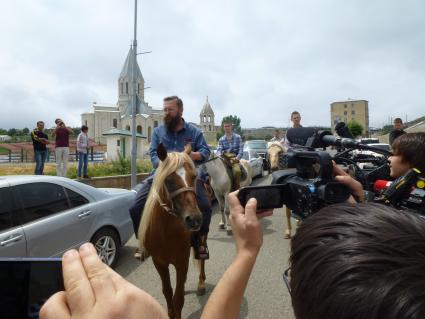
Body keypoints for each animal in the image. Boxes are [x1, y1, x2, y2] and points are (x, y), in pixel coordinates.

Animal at [137, 144, 205, 319]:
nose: (194, 219)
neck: (165, 231)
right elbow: (167, 292)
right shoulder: (159, 262)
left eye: (193, 176)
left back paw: (201, 283)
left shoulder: (181, 261)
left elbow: (178, 298)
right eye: (168, 180)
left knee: (201, 260)